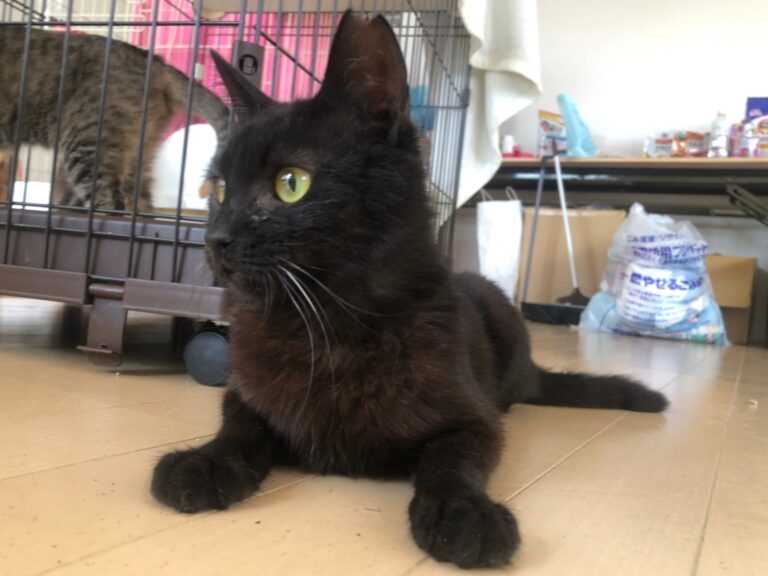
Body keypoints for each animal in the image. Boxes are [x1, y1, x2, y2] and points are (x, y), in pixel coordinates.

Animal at [151, 11, 668, 569]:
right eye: (218, 189)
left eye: (291, 183)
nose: (216, 238)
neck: (325, 323)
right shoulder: (247, 392)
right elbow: (239, 428)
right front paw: (203, 464)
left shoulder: (474, 419)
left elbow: (451, 459)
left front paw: (464, 514)